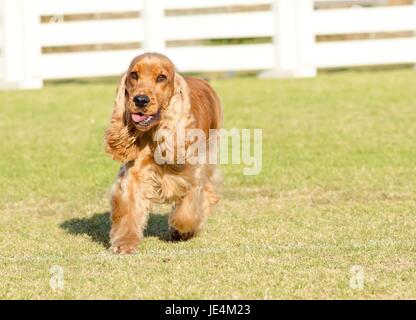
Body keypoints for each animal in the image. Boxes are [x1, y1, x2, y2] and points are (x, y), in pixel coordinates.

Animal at [103, 52, 223, 254]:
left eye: (161, 77)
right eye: (134, 75)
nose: (140, 100)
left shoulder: (193, 173)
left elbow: (187, 211)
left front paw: (181, 230)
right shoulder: (135, 173)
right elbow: (130, 207)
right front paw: (125, 243)